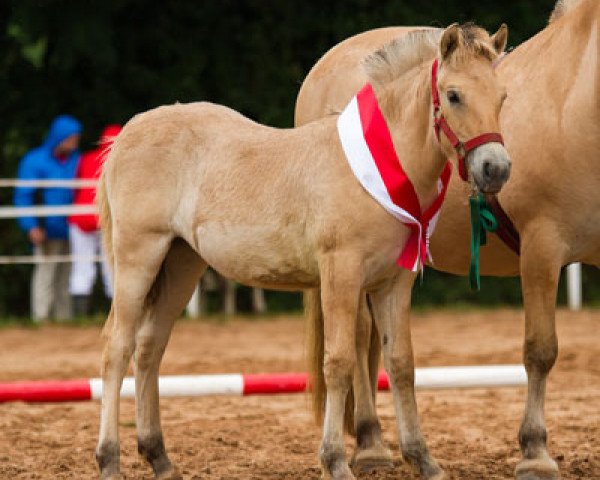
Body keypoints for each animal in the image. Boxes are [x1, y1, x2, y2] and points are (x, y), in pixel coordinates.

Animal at [96, 22, 508, 480]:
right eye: (453, 95)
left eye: (501, 96)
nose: (496, 168)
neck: (379, 165)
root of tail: (127, 134)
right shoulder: (341, 274)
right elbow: (339, 362)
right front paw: (335, 461)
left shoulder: (393, 283)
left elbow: (401, 363)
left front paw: (423, 460)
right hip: (139, 258)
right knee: (117, 348)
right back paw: (109, 459)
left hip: (181, 263)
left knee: (149, 348)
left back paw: (159, 458)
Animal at [296, 0, 600, 480]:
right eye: (454, 97)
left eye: (503, 98)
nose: (496, 169)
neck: (574, 98)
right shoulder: (542, 248)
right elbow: (541, 350)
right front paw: (535, 451)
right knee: (360, 337)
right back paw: (370, 444)